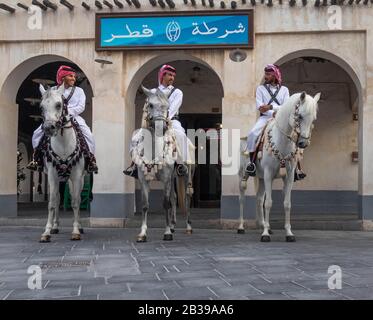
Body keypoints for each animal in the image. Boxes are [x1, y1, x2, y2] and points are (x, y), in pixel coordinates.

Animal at [38, 84, 85, 241]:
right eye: (41, 107)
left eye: (59, 104)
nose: (48, 128)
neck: (64, 143)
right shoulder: (52, 175)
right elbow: (52, 202)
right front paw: (46, 232)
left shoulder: (76, 175)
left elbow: (75, 201)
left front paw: (76, 231)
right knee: (58, 198)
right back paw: (55, 226)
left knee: (76, 196)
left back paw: (80, 226)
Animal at [134, 86, 195, 241]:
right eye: (150, 105)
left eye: (167, 107)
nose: (161, 127)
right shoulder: (143, 178)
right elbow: (145, 204)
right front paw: (142, 233)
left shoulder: (166, 178)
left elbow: (166, 203)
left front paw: (167, 232)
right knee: (174, 197)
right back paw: (173, 225)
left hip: (187, 174)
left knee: (187, 196)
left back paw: (188, 227)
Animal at [238, 91, 320, 241]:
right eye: (300, 116)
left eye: (314, 118)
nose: (303, 143)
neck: (281, 142)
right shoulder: (268, 174)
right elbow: (268, 203)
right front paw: (265, 234)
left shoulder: (289, 176)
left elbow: (287, 204)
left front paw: (288, 233)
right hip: (243, 175)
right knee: (242, 198)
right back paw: (241, 227)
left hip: (261, 178)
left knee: (259, 199)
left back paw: (264, 225)